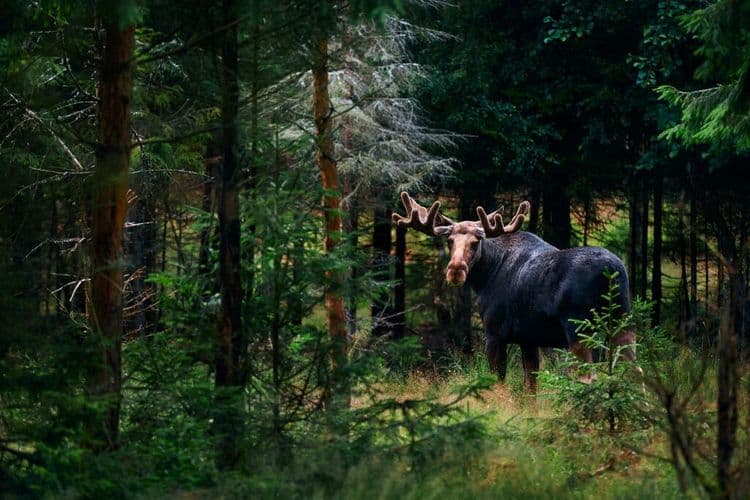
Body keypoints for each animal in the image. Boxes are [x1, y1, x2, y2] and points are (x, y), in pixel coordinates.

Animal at [392, 192, 638, 393]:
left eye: (476, 241)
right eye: (450, 240)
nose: (455, 270)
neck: (485, 276)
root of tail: (612, 271)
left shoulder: (494, 334)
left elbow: (498, 384)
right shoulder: (528, 339)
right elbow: (531, 388)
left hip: (578, 328)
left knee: (589, 377)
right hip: (623, 321)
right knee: (635, 372)